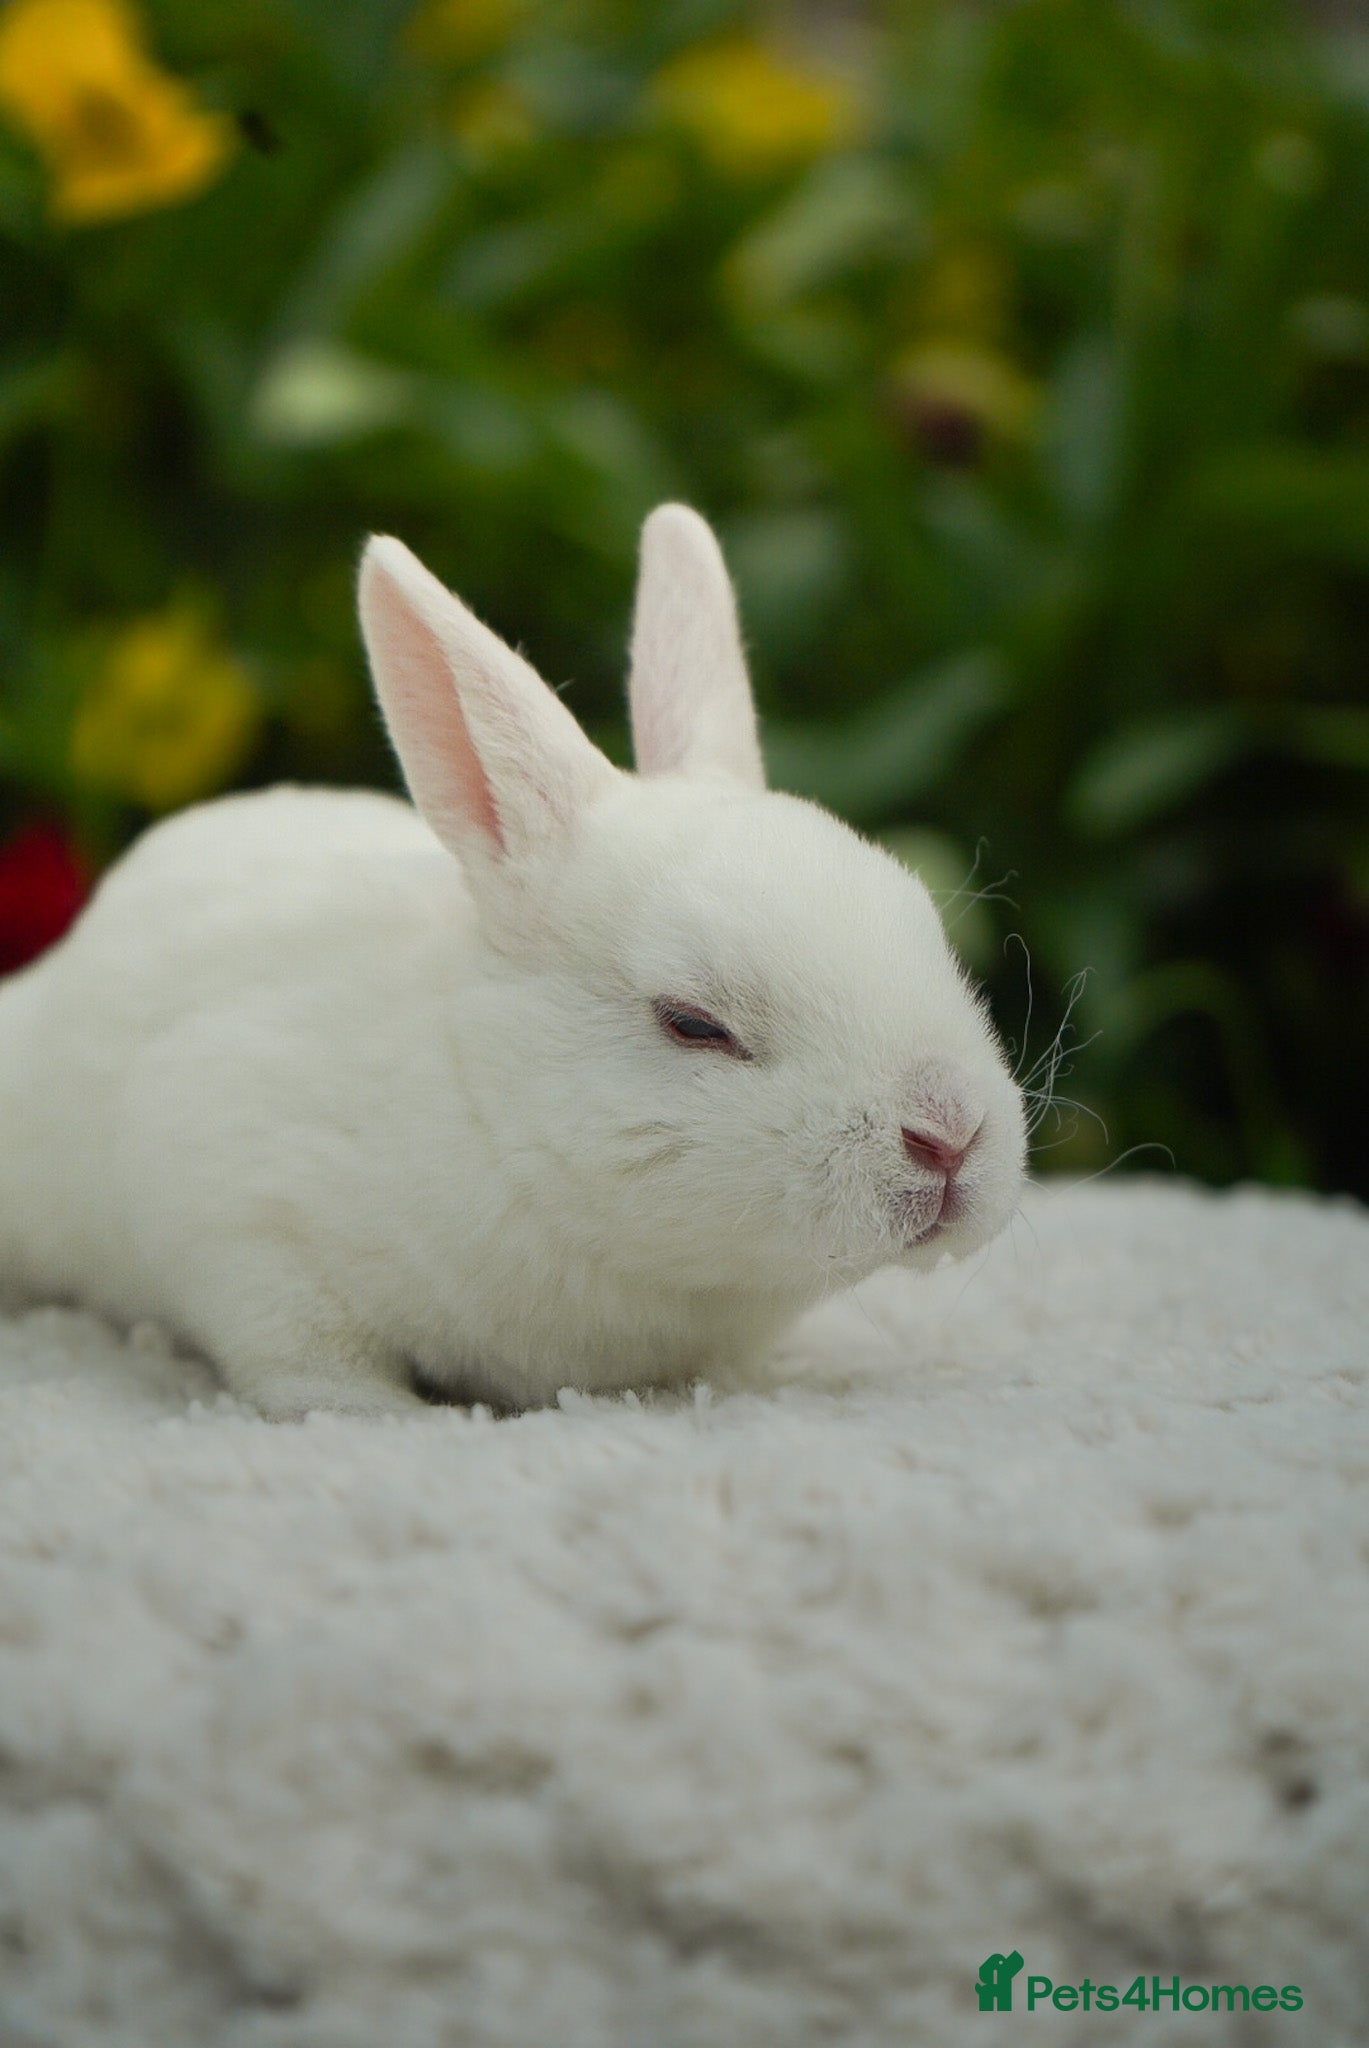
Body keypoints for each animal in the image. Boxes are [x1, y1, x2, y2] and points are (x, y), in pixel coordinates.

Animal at [0, 506, 1026, 1419]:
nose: (948, 1132)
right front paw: (380, 1415)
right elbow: (298, 1352)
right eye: (694, 1023)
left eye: (926, 935)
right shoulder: (236, 1203)